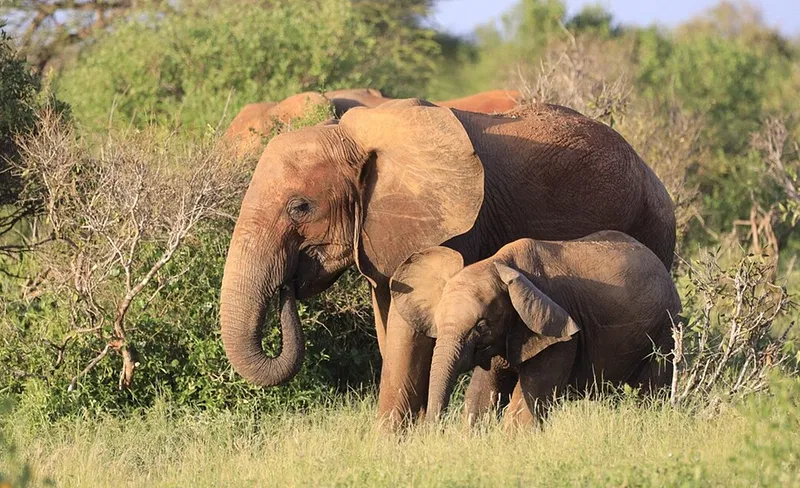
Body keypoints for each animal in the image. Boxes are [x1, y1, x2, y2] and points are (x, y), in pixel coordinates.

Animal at [390, 231, 680, 426]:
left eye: (481, 327)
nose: (431, 429)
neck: (499, 263)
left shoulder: (559, 332)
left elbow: (528, 400)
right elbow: (482, 395)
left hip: (665, 331)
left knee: (651, 392)